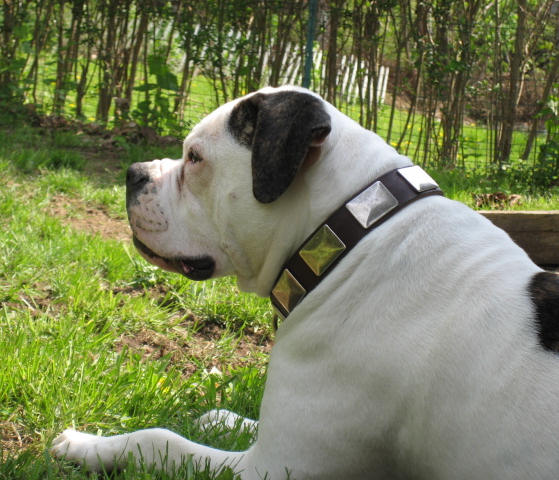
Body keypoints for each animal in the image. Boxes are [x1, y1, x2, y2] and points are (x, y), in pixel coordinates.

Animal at [51, 87, 559, 480]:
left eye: (194, 158)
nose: (133, 174)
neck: (353, 236)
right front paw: (220, 417)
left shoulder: (272, 467)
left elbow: (160, 441)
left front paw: (85, 445)